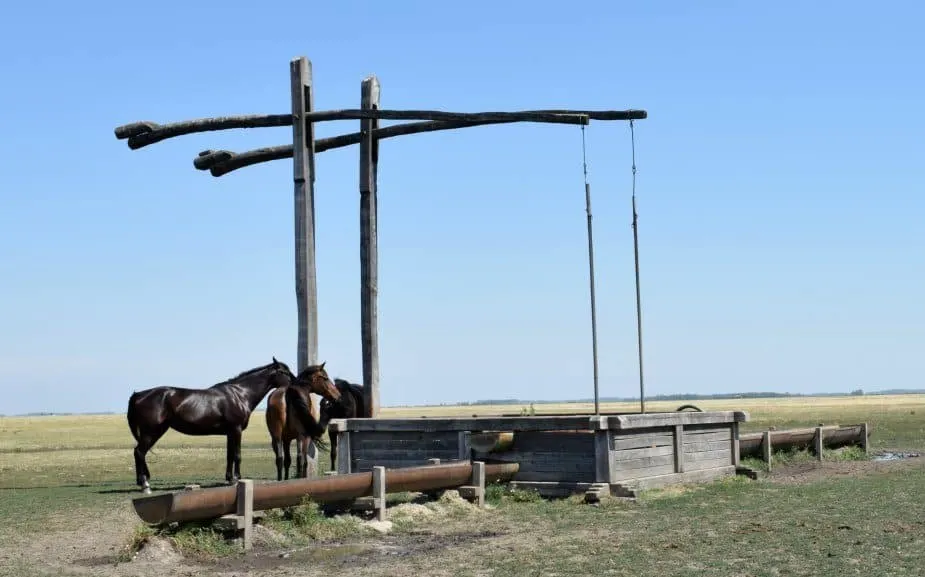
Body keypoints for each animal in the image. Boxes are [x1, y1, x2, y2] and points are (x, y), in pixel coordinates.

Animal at [125, 356, 292, 490]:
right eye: (284, 372)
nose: (295, 382)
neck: (240, 394)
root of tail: (138, 395)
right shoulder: (236, 429)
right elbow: (237, 455)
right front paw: (237, 479)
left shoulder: (229, 432)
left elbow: (229, 455)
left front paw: (230, 479)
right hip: (151, 432)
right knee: (139, 452)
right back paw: (145, 484)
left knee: (139, 452)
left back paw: (142, 481)